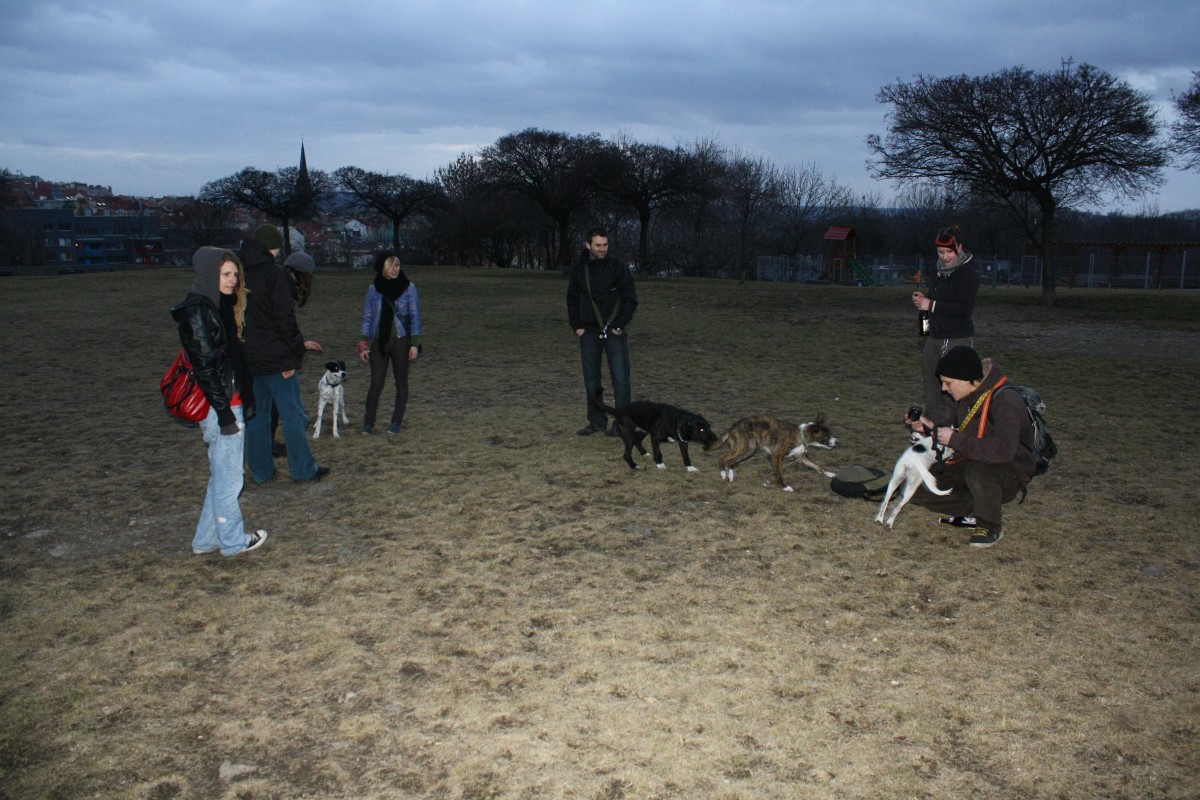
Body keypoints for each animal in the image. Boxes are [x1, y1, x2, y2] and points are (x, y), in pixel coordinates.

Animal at [707, 414, 838, 491]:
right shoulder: (775, 456)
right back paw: (723, 474)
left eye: (831, 433)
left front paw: (829, 473)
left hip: (750, 450)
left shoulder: (800, 458)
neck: (802, 435)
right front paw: (784, 487)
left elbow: (817, 466)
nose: (837, 441)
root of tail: (733, 427)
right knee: (723, 457)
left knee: (731, 461)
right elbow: (778, 473)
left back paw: (730, 474)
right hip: (742, 448)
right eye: (827, 436)